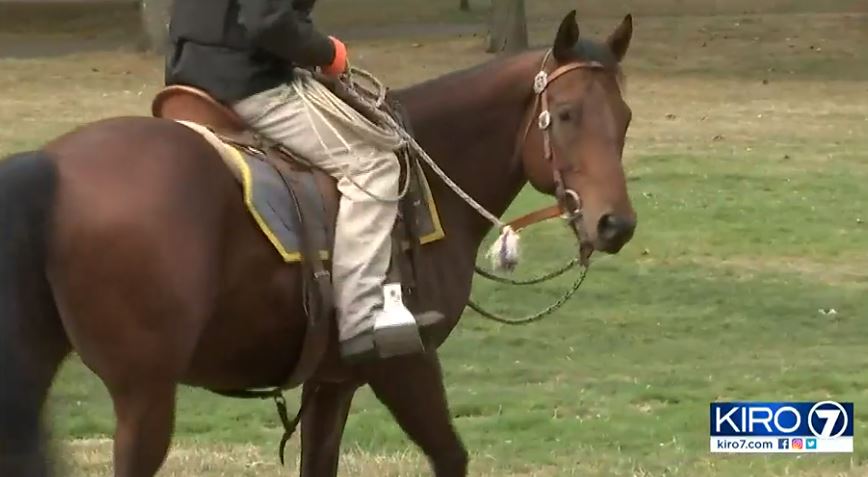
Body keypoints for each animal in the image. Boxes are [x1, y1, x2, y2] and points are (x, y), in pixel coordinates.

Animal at [0, 11, 636, 476]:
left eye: (625, 117)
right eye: (567, 114)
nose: (616, 225)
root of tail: (52, 166)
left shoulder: (332, 382)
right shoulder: (404, 362)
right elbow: (451, 456)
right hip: (145, 395)